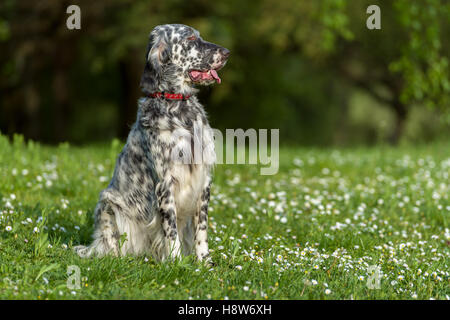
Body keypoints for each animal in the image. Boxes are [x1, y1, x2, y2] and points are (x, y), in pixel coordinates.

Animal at [75, 23, 230, 262]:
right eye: (191, 39)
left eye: (200, 36)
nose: (226, 53)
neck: (179, 109)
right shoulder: (165, 182)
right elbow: (170, 229)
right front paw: (176, 262)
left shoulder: (203, 179)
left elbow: (201, 228)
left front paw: (205, 261)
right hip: (108, 203)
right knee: (110, 245)